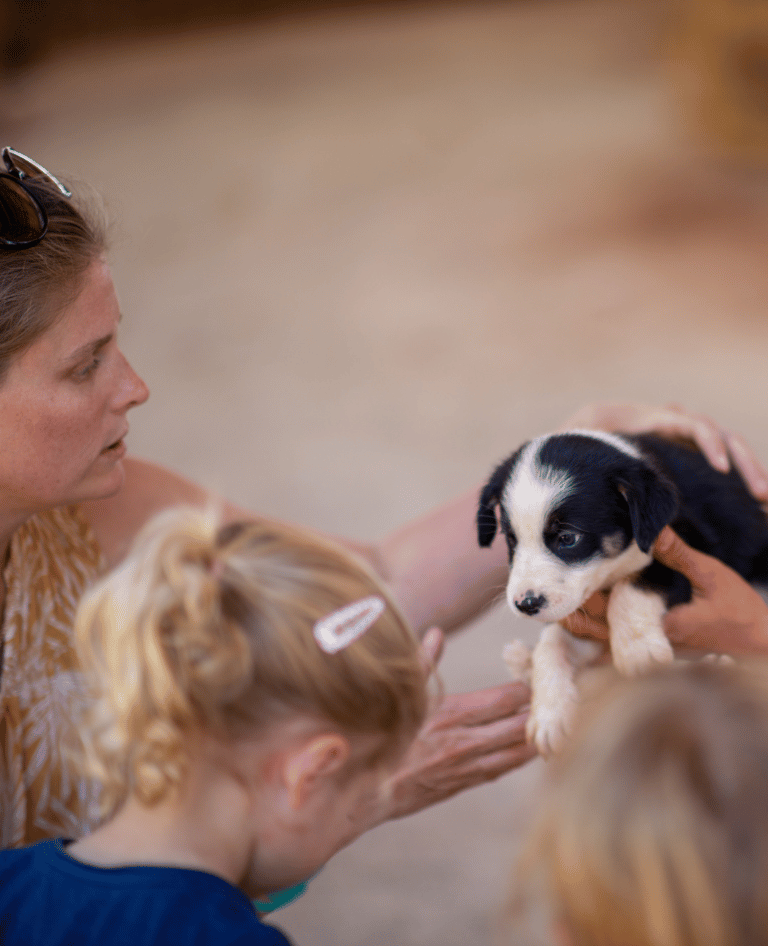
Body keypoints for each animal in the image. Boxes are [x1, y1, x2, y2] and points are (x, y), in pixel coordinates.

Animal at [474, 430, 768, 752]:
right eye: (511, 540)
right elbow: (550, 643)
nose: (526, 604)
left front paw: (637, 650)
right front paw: (549, 714)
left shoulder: (697, 552)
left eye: (567, 538)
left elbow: (639, 582)